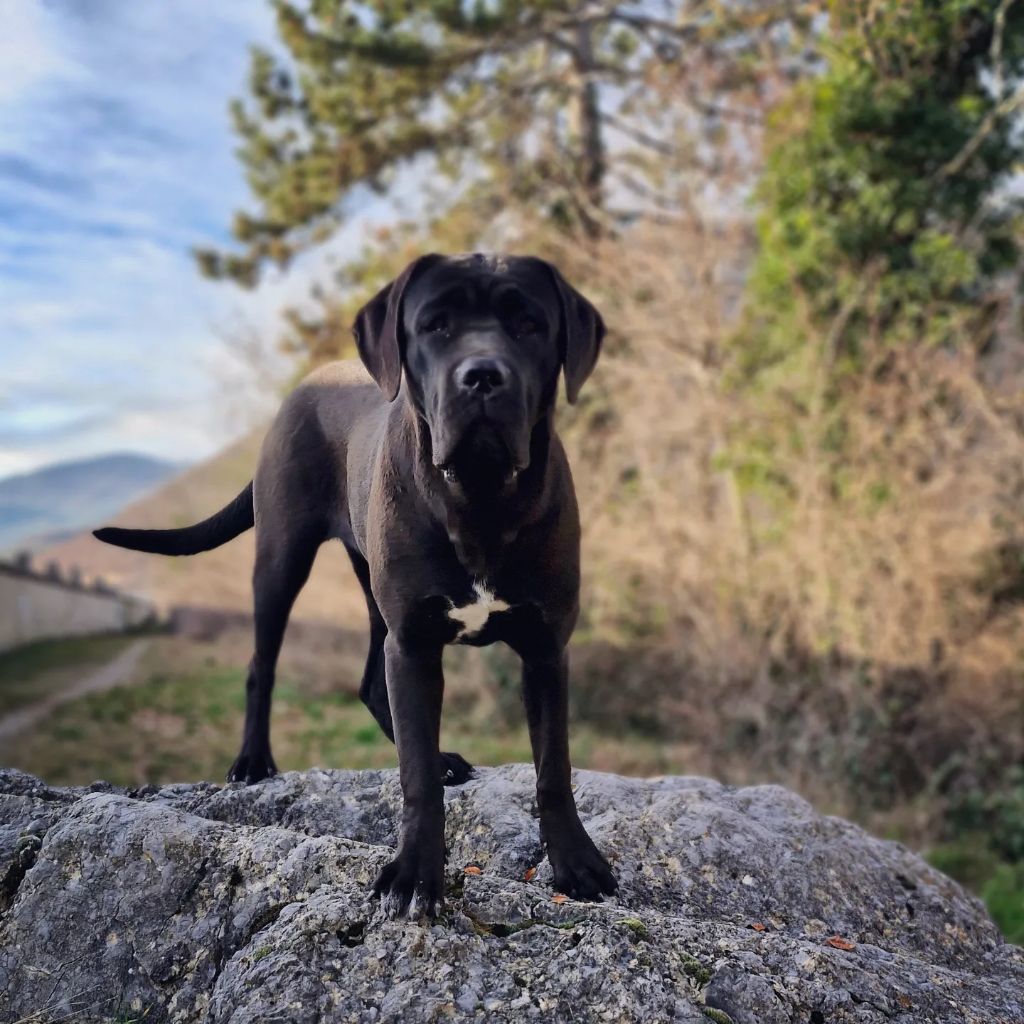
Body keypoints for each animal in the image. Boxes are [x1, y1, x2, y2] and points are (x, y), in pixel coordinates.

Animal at [97, 251, 614, 917]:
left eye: (529, 324)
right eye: (436, 324)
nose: (481, 378)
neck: (478, 493)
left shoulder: (545, 648)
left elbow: (553, 766)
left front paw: (574, 861)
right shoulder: (414, 643)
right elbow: (414, 775)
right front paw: (416, 871)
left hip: (373, 595)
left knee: (370, 681)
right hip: (282, 561)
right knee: (261, 666)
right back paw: (253, 761)